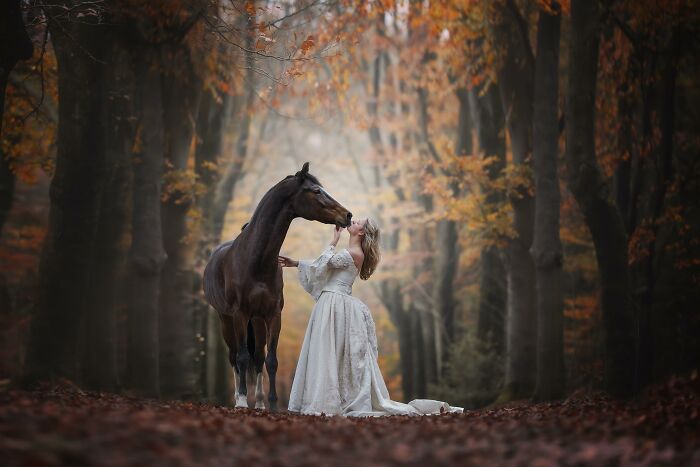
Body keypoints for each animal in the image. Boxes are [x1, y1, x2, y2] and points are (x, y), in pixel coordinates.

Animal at [204, 164, 356, 410]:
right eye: (316, 190)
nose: (348, 215)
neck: (255, 260)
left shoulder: (273, 314)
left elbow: (271, 360)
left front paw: (273, 404)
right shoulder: (240, 314)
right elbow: (242, 357)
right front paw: (243, 401)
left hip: (256, 320)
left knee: (257, 356)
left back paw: (260, 403)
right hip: (225, 319)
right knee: (235, 355)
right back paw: (238, 398)